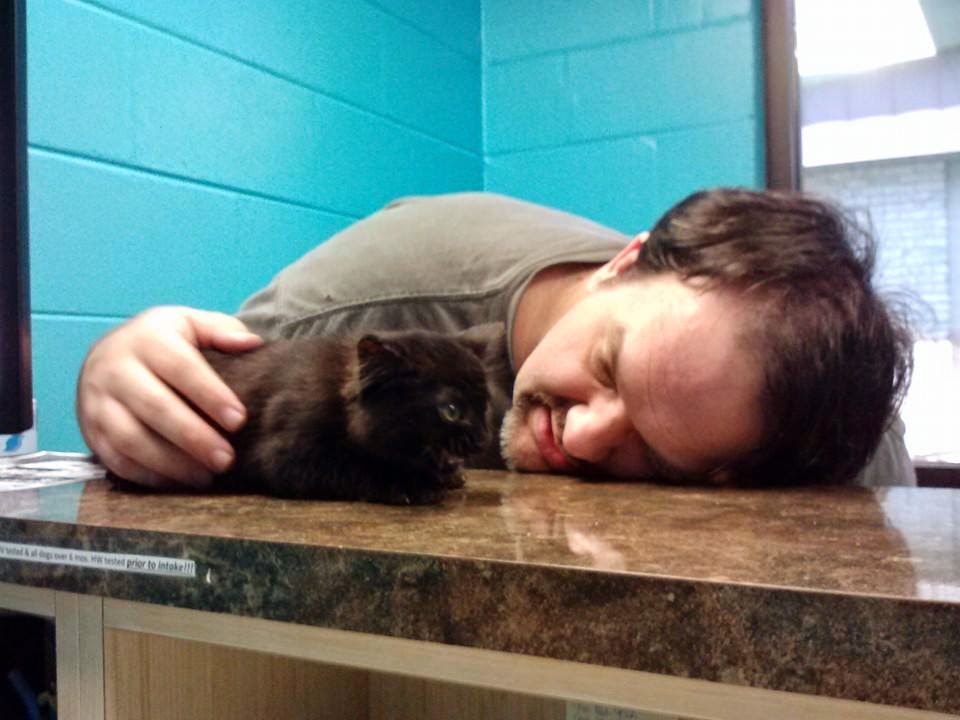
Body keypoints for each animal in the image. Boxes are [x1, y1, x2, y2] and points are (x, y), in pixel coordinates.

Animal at [114, 324, 501, 505]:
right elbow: (356, 467)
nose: (482, 439)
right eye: (451, 411)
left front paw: (447, 475)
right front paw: (411, 485)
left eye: (484, 405)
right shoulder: (288, 454)